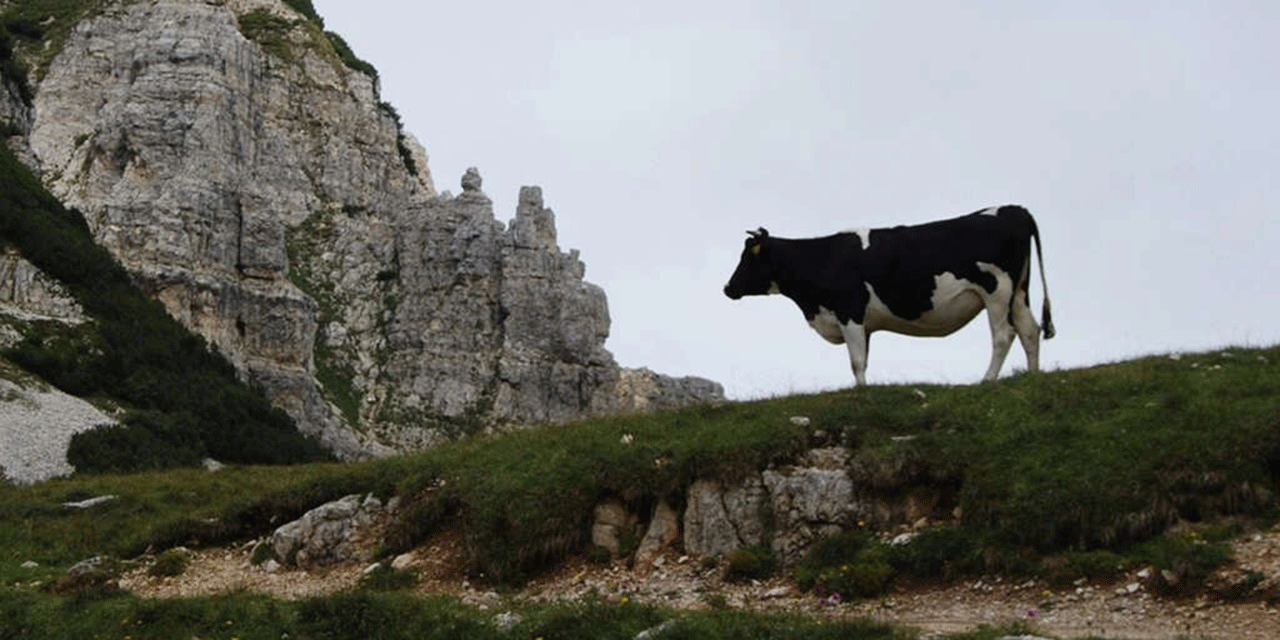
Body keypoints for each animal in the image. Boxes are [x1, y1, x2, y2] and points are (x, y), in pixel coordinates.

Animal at [727, 204, 1054, 384]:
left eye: (747, 259)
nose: (727, 288)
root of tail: (1015, 209)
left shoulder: (850, 311)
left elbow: (856, 362)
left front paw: (861, 392)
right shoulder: (862, 322)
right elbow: (863, 359)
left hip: (997, 291)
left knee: (1004, 335)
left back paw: (987, 380)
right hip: (1018, 291)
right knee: (1029, 329)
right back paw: (1033, 376)